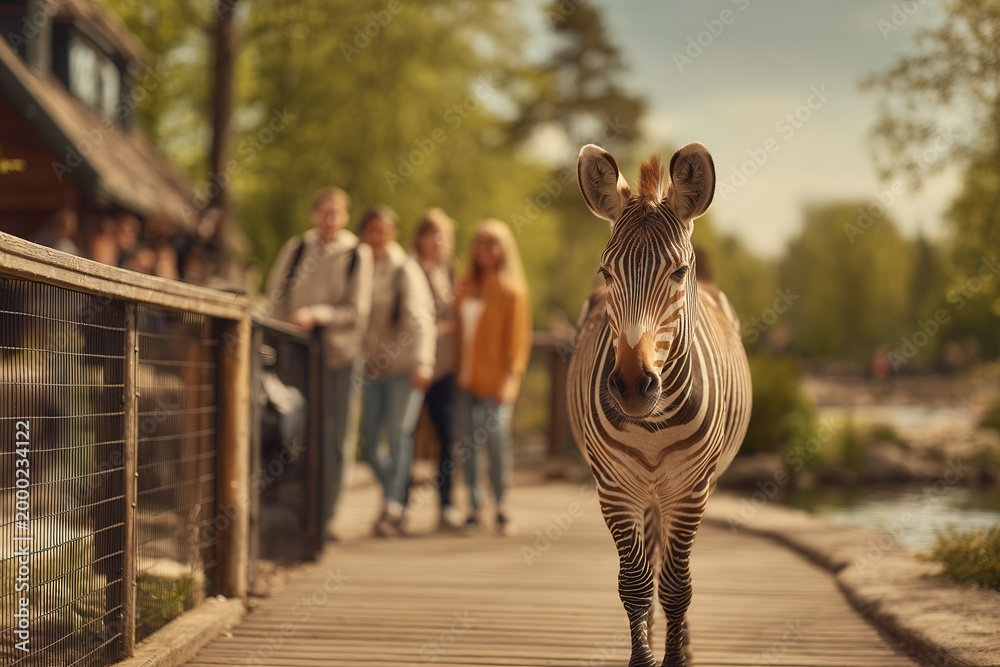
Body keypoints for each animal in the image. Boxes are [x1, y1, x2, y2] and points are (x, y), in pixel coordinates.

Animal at [567, 143, 752, 667]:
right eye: (606, 272)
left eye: (679, 272)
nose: (632, 386)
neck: (652, 425)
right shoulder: (614, 488)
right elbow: (635, 583)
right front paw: (642, 656)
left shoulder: (690, 489)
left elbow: (676, 586)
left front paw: (674, 656)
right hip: (645, 493)